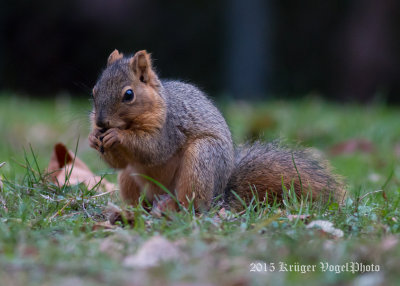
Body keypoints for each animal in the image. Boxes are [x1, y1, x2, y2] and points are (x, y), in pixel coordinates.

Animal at [88, 49, 346, 211]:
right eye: (94, 90)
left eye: (128, 95)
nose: (100, 123)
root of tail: (220, 196)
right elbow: (120, 162)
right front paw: (93, 138)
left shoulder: (169, 127)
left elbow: (153, 148)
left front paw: (117, 136)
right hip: (128, 179)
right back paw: (138, 210)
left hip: (201, 159)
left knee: (193, 203)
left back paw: (172, 207)